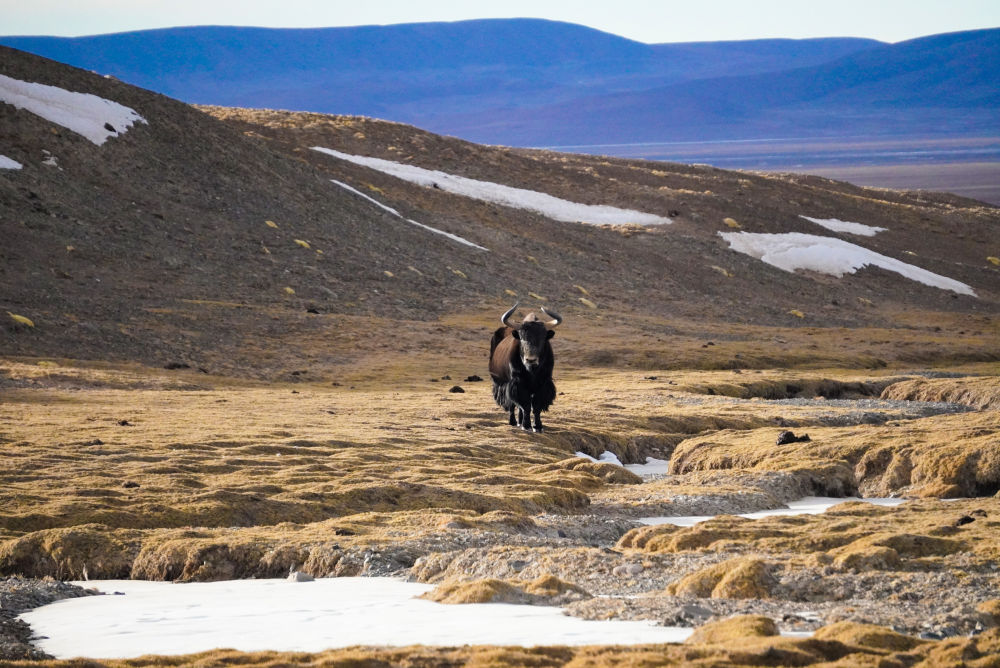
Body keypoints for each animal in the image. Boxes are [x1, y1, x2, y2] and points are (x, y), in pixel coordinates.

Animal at [488, 302, 562, 432]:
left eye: (543, 339)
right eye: (522, 338)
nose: (530, 360)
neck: (532, 371)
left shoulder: (543, 384)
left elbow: (536, 406)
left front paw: (538, 426)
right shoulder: (517, 383)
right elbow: (525, 405)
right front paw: (526, 425)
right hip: (503, 383)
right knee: (512, 405)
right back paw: (513, 422)